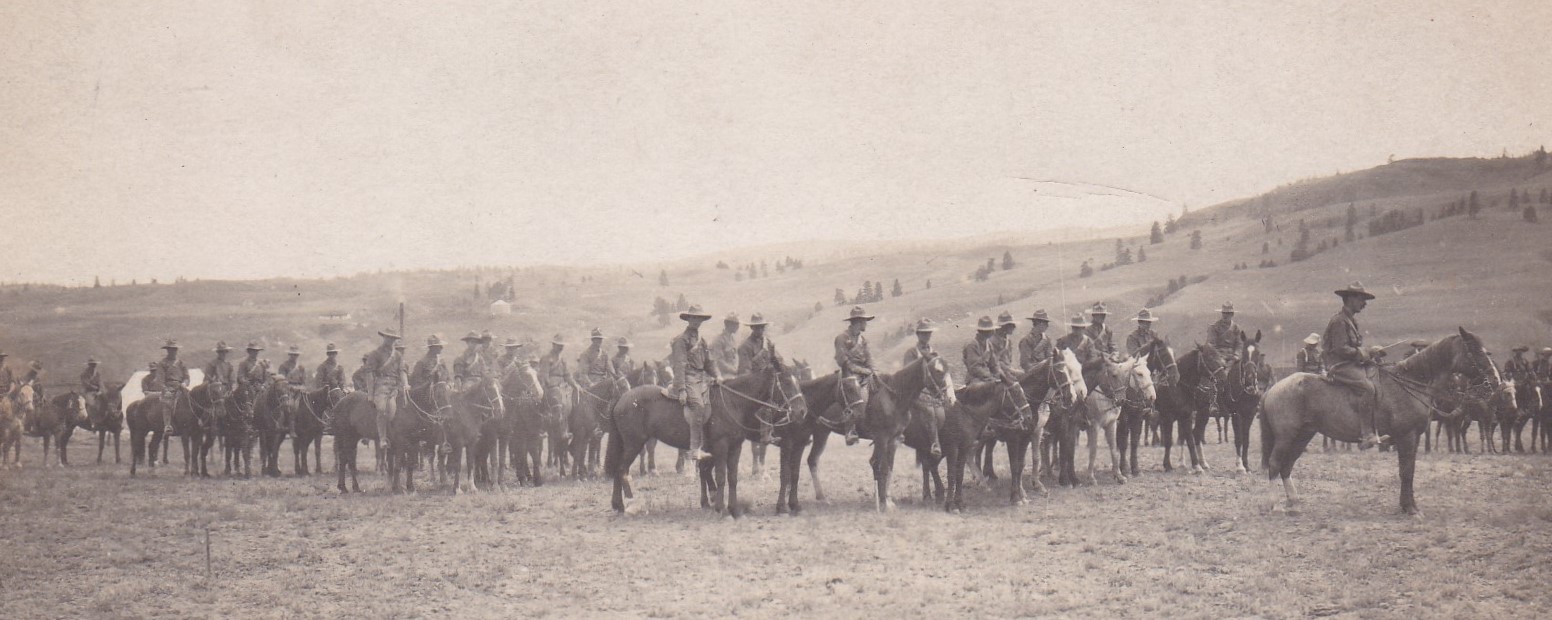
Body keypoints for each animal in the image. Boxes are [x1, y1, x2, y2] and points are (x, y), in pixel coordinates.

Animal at [605, 363, 807, 518]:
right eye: (786, 382)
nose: (801, 411)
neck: (733, 402)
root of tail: (622, 398)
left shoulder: (735, 447)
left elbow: (732, 478)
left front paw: (734, 509)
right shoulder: (721, 446)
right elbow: (721, 476)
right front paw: (720, 508)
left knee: (618, 470)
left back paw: (618, 505)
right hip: (634, 444)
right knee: (621, 470)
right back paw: (628, 504)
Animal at [1260, 329, 1502, 515]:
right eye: (1475, 351)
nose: (1495, 381)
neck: (1411, 382)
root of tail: (1273, 388)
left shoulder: (1413, 438)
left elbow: (1408, 470)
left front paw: (1408, 506)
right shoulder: (1407, 437)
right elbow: (1406, 472)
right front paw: (1410, 509)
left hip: (1303, 435)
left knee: (1287, 466)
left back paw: (1294, 502)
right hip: (1286, 437)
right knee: (1275, 464)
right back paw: (1275, 505)